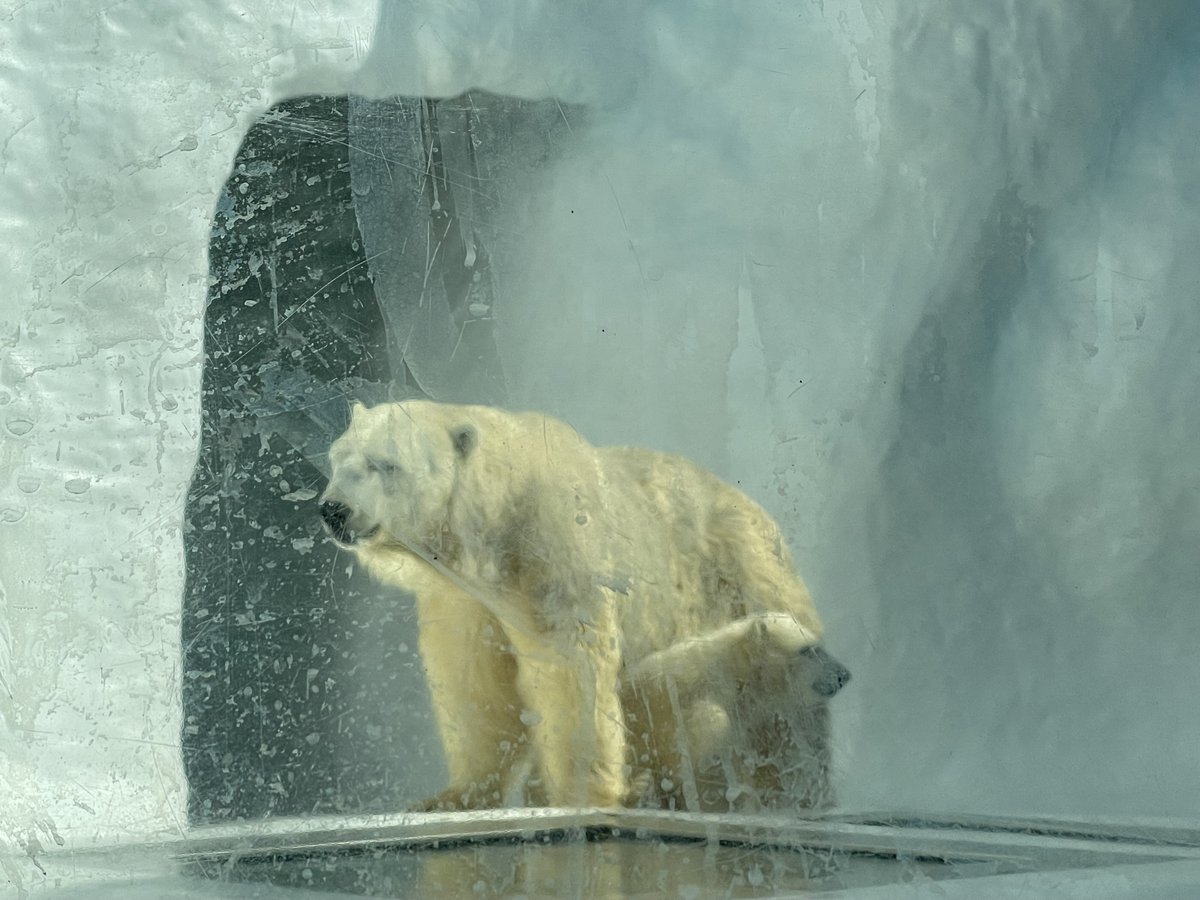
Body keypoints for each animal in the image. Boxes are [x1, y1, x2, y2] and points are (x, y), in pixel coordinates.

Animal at [319, 400, 848, 811]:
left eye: (385, 463)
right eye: (337, 459)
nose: (334, 510)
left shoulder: (556, 551)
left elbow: (571, 670)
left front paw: (587, 795)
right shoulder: (464, 598)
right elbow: (475, 682)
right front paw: (452, 796)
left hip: (744, 577)